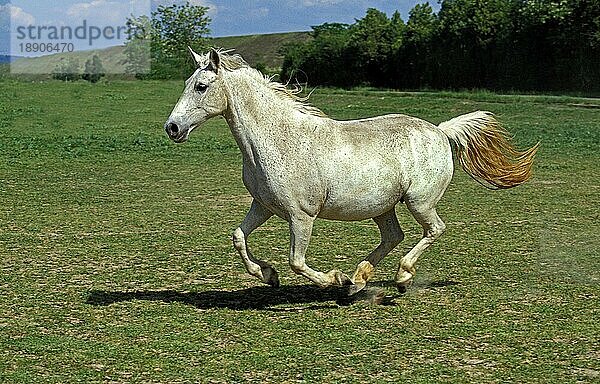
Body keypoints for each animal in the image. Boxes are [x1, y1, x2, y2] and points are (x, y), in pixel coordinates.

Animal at [164, 48, 540, 294]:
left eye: (201, 86)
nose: (172, 128)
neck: (276, 138)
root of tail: (439, 130)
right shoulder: (264, 206)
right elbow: (239, 238)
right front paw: (268, 275)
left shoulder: (301, 216)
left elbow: (297, 261)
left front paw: (334, 280)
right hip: (382, 207)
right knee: (393, 236)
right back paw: (360, 278)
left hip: (419, 202)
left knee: (434, 230)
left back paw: (398, 278)